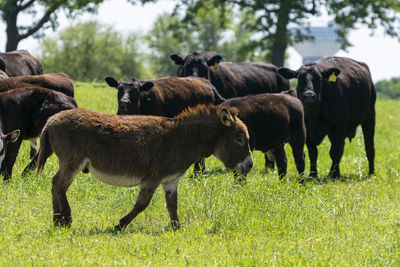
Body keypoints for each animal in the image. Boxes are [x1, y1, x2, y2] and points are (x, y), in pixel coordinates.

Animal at [35, 105, 253, 231]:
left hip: (67, 162)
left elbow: (172, 205)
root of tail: (51, 121)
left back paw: (57, 221)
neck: (181, 140)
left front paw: (176, 228)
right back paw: (66, 219)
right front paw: (120, 225)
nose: (250, 166)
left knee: (55, 185)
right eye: (239, 138)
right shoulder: (152, 178)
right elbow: (142, 204)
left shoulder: (170, 180)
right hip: (72, 162)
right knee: (59, 185)